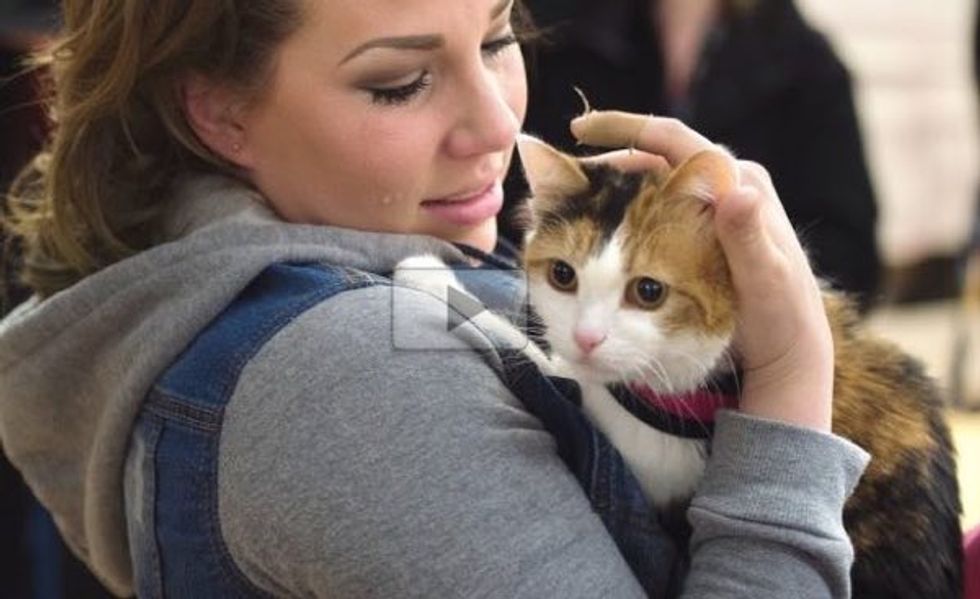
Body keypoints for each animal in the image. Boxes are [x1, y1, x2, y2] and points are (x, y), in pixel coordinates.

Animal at [398, 137, 964, 599]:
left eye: (649, 291)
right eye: (562, 275)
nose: (586, 338)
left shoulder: (654, 449)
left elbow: (537, 359)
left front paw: (426, 273)